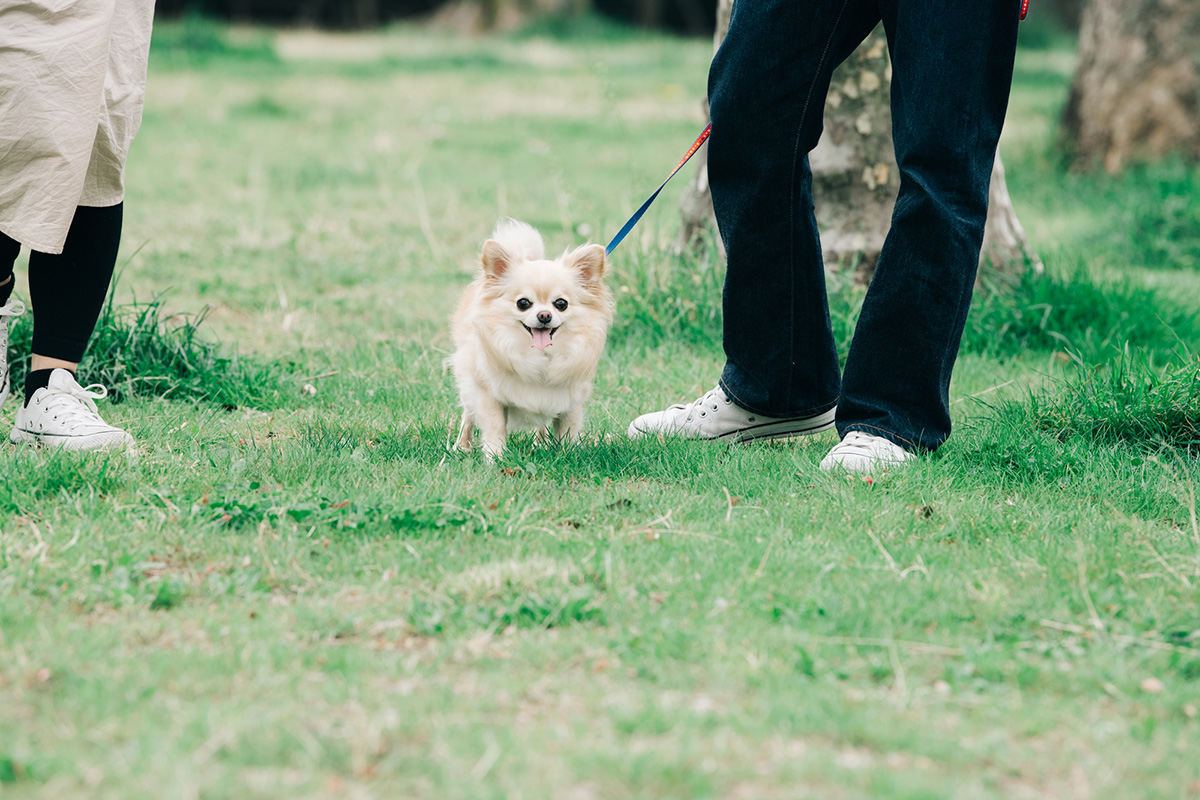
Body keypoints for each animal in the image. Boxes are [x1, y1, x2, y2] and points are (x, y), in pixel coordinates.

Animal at [451, 219, 619, 460]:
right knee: (468, 415)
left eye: (561, 304)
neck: (540, 356)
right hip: (468, 382)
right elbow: (495, 427)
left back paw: (540, 443)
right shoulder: (488, 394)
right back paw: (461, 446)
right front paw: (495, 457)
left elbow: (566, 430)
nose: (544, 315)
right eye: (523, 303)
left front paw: (566, 455)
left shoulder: (569, 400)